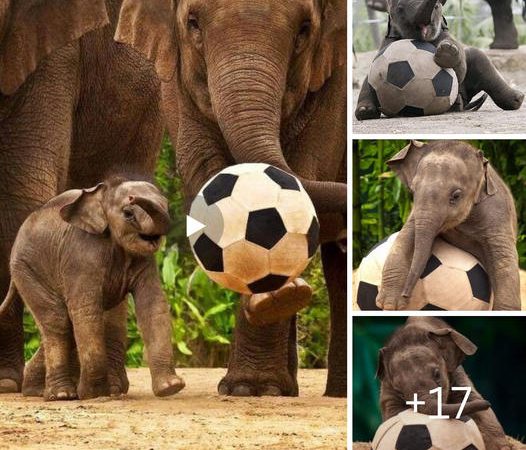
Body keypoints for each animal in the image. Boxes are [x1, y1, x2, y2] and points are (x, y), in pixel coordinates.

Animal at [0, 176, 186, 400]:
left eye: (166, 204)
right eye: (128, 213)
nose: (133, 197)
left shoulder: (144, 260)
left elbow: (153, 306)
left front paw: (171, 387)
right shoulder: (82, 254)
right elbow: (86, 310)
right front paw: (94, 393)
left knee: (64, 324)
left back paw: (37, 391)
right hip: (27, 270)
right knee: (58, 321)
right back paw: (62, 394)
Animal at [117, 0, 348, 396]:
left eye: (304, 31)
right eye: (193, 23)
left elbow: (307, 170)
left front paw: (254, 387)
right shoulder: (175, 87)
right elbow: (206, 171)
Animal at [380, 316, 516, 450]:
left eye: (437, 374)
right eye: (399, 391)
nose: (488, 403)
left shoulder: (458, 376)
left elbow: (476, 406)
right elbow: (392, 414)